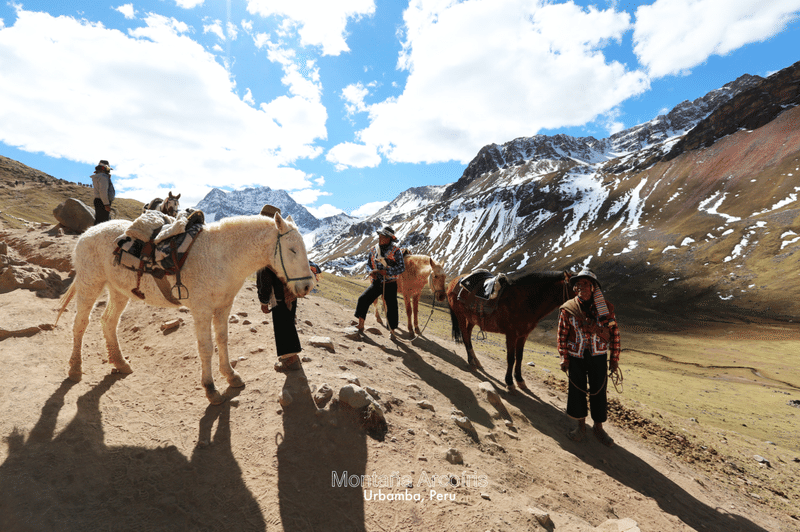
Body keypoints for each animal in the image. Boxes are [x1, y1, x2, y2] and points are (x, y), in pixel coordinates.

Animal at [55, 210, 312, 406]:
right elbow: (206, 348)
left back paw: (120, 363)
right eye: (292, 250)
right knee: (80, 324)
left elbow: (223, 340)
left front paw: (231, 376)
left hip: (119, 291)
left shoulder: (223, 306)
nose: (307, 286)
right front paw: (210, 389)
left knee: (108, 322)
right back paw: (75, 369)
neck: (222, 256)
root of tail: (87, 233)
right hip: (90, 285)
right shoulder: (202, 309)